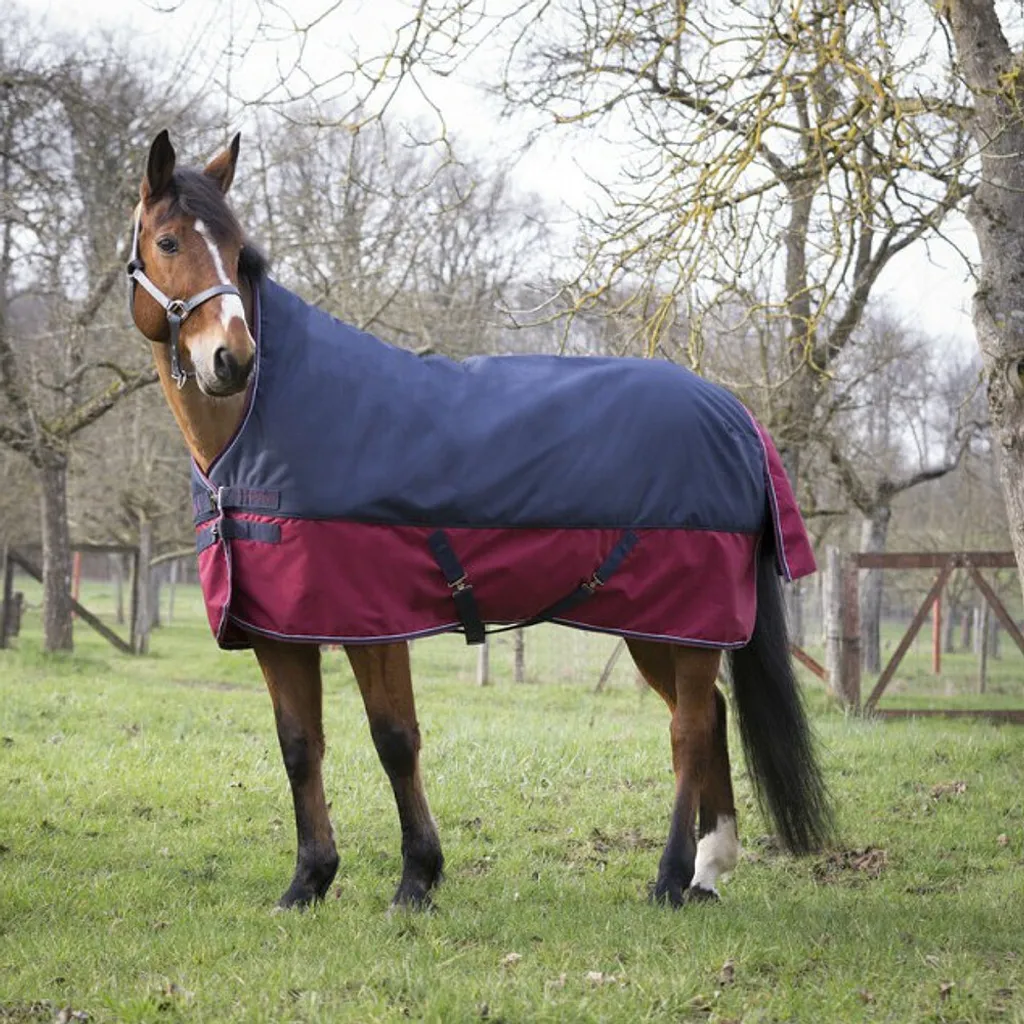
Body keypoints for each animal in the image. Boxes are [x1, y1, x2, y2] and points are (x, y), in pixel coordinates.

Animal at [127, 129, 833, 911]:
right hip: (663, 627)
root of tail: (737, 414)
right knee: (708, 716)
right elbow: (299, 747)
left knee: (689, 727)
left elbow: (394, 739)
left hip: (684, 617)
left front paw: (416, 879)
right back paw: (709, 869)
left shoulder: (376, 624)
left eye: (238, 247)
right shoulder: (279, 633)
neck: (262, 430)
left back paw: (671, 876)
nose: (233, 358)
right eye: (168, 241)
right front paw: (308, 882)